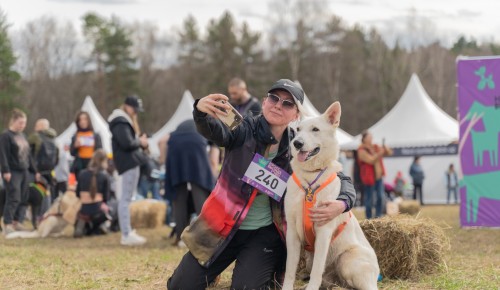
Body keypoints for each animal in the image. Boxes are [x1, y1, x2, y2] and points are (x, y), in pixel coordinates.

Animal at [284, 102, 376, 290]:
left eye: (315, 129)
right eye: (298, 130)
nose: (296, 143)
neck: (310, 178)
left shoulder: (323, 232)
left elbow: (317, 270)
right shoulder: (292, 232)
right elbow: (289, 269)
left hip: (347, 260)